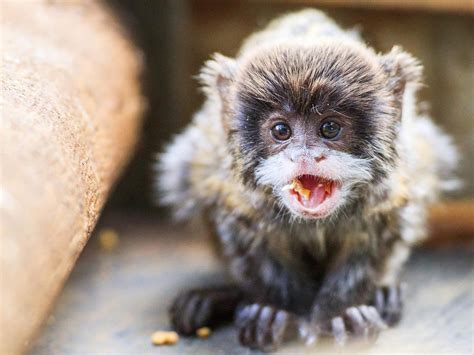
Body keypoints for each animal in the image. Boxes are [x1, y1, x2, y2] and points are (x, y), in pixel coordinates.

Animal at [156, 9, 460, 354]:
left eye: (329, 128)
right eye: (281, 130)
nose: (306, 156)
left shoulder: (391, 195)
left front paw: (338, 315)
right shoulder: (233, 196)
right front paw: (282, 314)